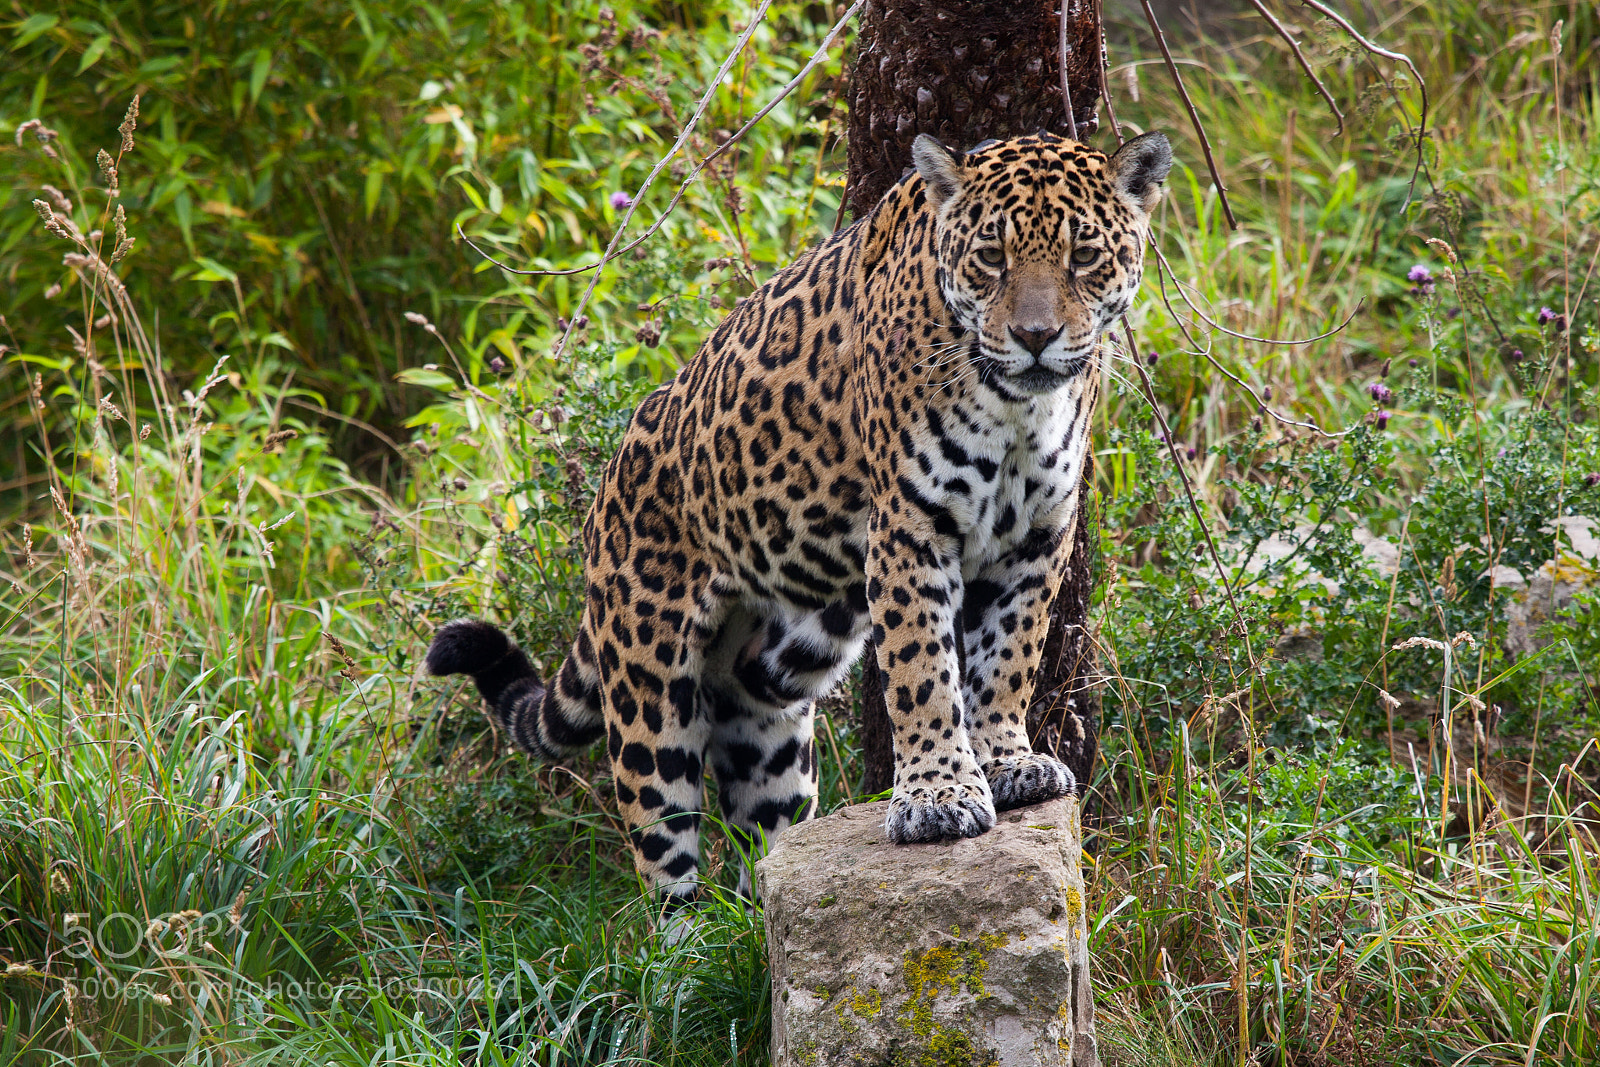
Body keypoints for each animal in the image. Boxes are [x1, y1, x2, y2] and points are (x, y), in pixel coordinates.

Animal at [426, 130, 1173, 918]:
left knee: (761, 839)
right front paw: (938, 794)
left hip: (770, 703)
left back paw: (761, 915)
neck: (1021, 406)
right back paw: (685, 942)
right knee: (662, 853)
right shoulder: (909, 528)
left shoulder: (1038, 539)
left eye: (1083, 256)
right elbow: (922, 669)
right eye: (990, 257)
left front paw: (1007, 761)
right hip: (649, 690)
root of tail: (605, 493)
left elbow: (1009, 658)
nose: (1035, 336)